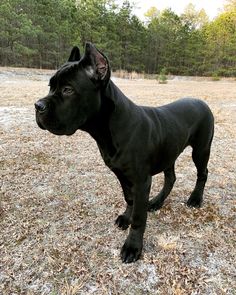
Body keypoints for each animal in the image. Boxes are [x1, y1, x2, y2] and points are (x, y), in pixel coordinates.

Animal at [34, 43, 214, 264]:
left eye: (68, 90)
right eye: (50, 87)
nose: (38, 106)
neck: (109, 129)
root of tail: (202, 102)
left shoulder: (141, 180)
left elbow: (139, 216)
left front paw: (132, 246)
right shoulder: (121, 174)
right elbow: (129, 199)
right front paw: (126, 218)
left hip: (201, 149)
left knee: (202, 173)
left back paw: (195, 199)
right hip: (169, 151)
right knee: (171, 178)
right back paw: (156, 202)